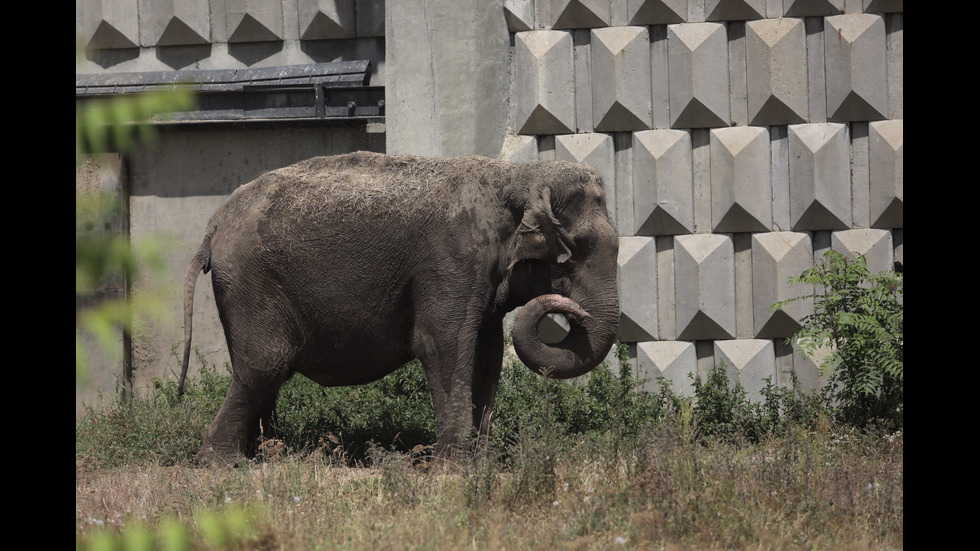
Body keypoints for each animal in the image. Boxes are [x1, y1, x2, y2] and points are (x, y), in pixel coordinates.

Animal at [179, 150, 620, 462]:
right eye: (576, 248)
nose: (573, 310)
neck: (518, 174)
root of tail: (215, 223)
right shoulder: (451, 258)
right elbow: (444, 346)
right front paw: (452, 469)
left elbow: (487, 354)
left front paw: (479, 465)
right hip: (251, 284)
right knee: (265, 366)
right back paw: (222, 464)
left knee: (263, 375)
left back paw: (264, 456)